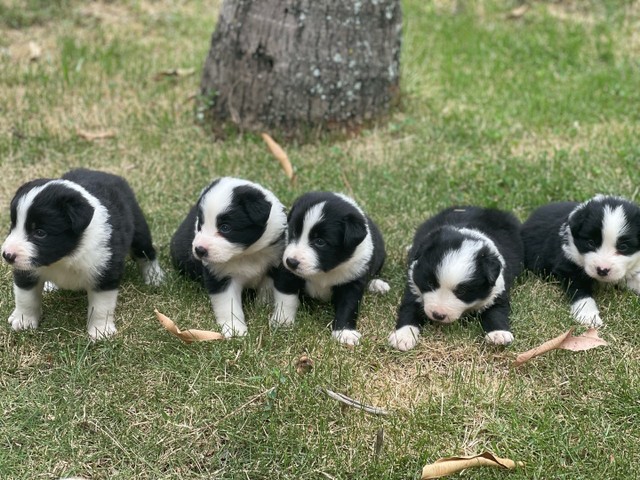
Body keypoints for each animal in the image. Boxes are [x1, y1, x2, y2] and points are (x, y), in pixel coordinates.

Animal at [1, 167, 165, 340]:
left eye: (40, 233)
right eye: (13, 225)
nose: (7, 255)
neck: (66, 257)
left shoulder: (105, 271)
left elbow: (101, 306)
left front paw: (101, 331)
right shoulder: (26, 270)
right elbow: (25, 297)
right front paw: (23, 321)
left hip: (138, 228)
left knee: (146, 253)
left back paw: (154, 276)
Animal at [172, 176, 288, 338]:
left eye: (225, 228)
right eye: (200, 224)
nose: (199, 250)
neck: (246, 253)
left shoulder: (273, 262)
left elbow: (267, 288)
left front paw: (262, 306)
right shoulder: (220, 274)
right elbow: (228, 304)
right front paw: (235, 330)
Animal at [270, 191, 390, 344]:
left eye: (320, 242)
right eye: (294, 232)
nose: (291, 262)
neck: (325, 271)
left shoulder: (353, 279)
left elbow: (348, 306)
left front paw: (344, 332)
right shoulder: (287, 273)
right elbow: (286, 298)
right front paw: (282, 321)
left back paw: (377, 284)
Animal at [388, 207, 524, 352]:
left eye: (461, 291)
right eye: (430, 283)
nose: (438, 315)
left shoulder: (497, 288)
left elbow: (496, 311)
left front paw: (498, 334)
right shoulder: (414, 285)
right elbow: (409, 308)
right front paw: (403, 336)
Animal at [524, 194, 636, 326]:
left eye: (623, 247)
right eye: (590, 243)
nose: (602, 270)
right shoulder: (569, 267)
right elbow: (580, 292)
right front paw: (589, 315)